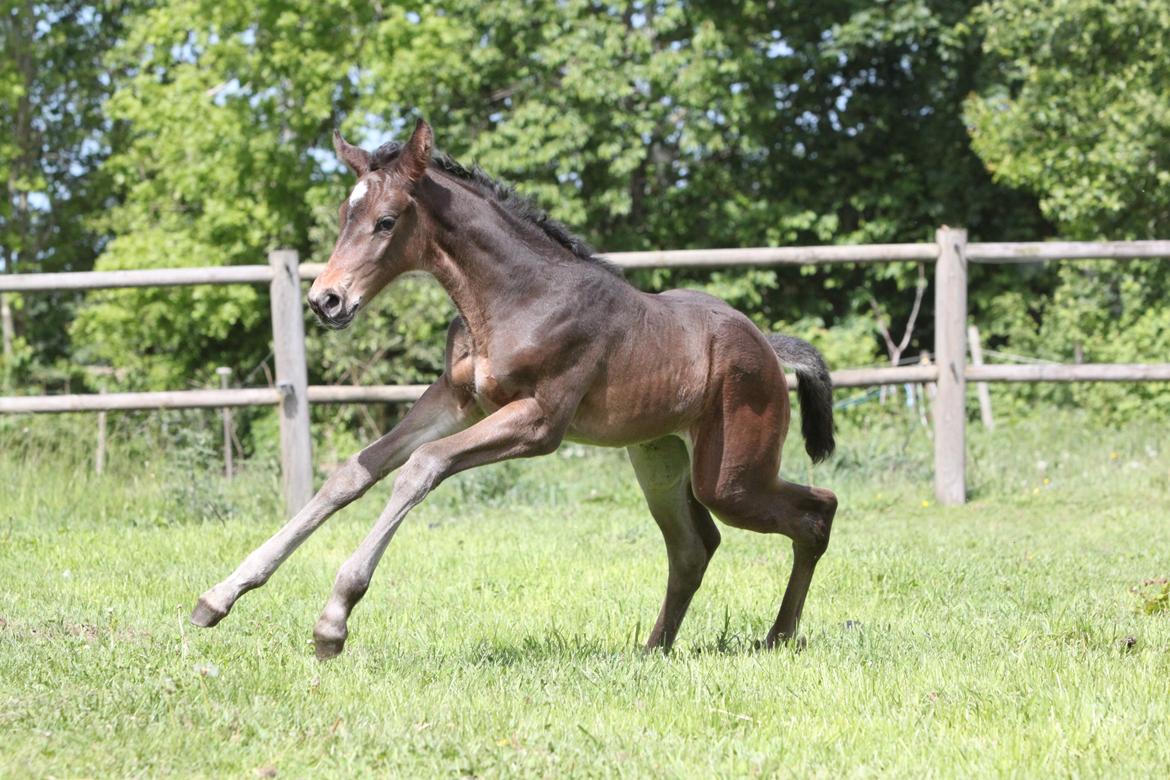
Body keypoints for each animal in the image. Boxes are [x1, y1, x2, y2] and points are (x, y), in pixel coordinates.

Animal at [191, 120, 837, 659]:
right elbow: (354, 473)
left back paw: (778, 637)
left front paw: (333, 621)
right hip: (660, 461)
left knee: (816, 512)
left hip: (729, 477)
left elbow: (421, 466)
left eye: (386, 221)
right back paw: (653, 649)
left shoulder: (538, 421)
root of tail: (765, 345)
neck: (517, 297)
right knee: (693, 548)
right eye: (345, 217)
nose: (326, 300)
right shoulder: (456, 400)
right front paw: (220, 595)